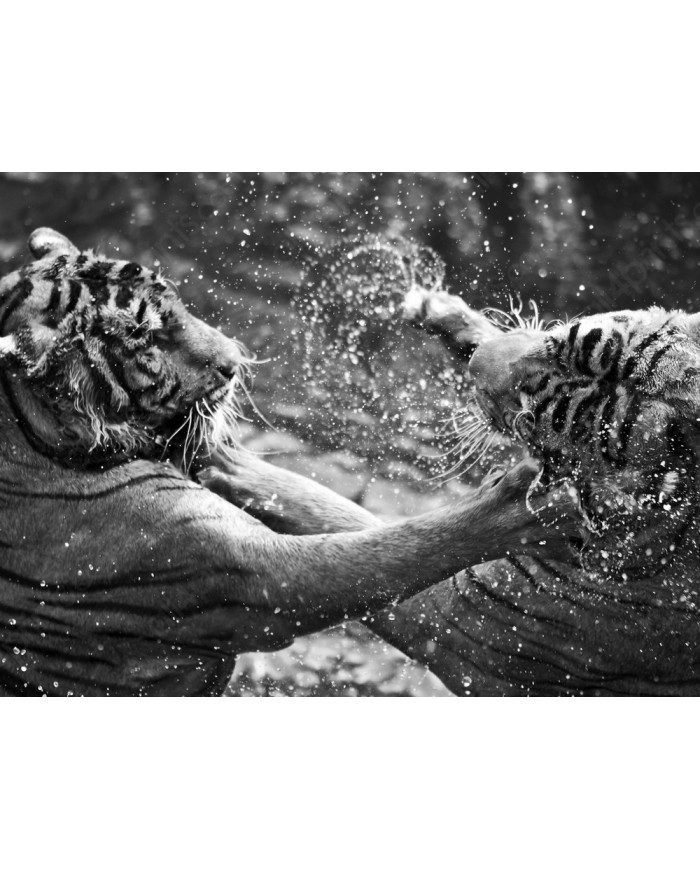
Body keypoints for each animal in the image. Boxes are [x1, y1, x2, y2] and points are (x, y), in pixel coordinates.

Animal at [0, 227, 577, 696]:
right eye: (146, 337)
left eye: (178, 304)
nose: (234, 362)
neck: (37, 431)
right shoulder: (244, 575)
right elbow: (398, 548)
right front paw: (537, 502)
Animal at [206, 272, 700, 696]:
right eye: (557, 342)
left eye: (530, 415)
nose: (477, 366)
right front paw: (440, 310)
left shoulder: (451, 621)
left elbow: (370, 537)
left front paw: (227, 458)